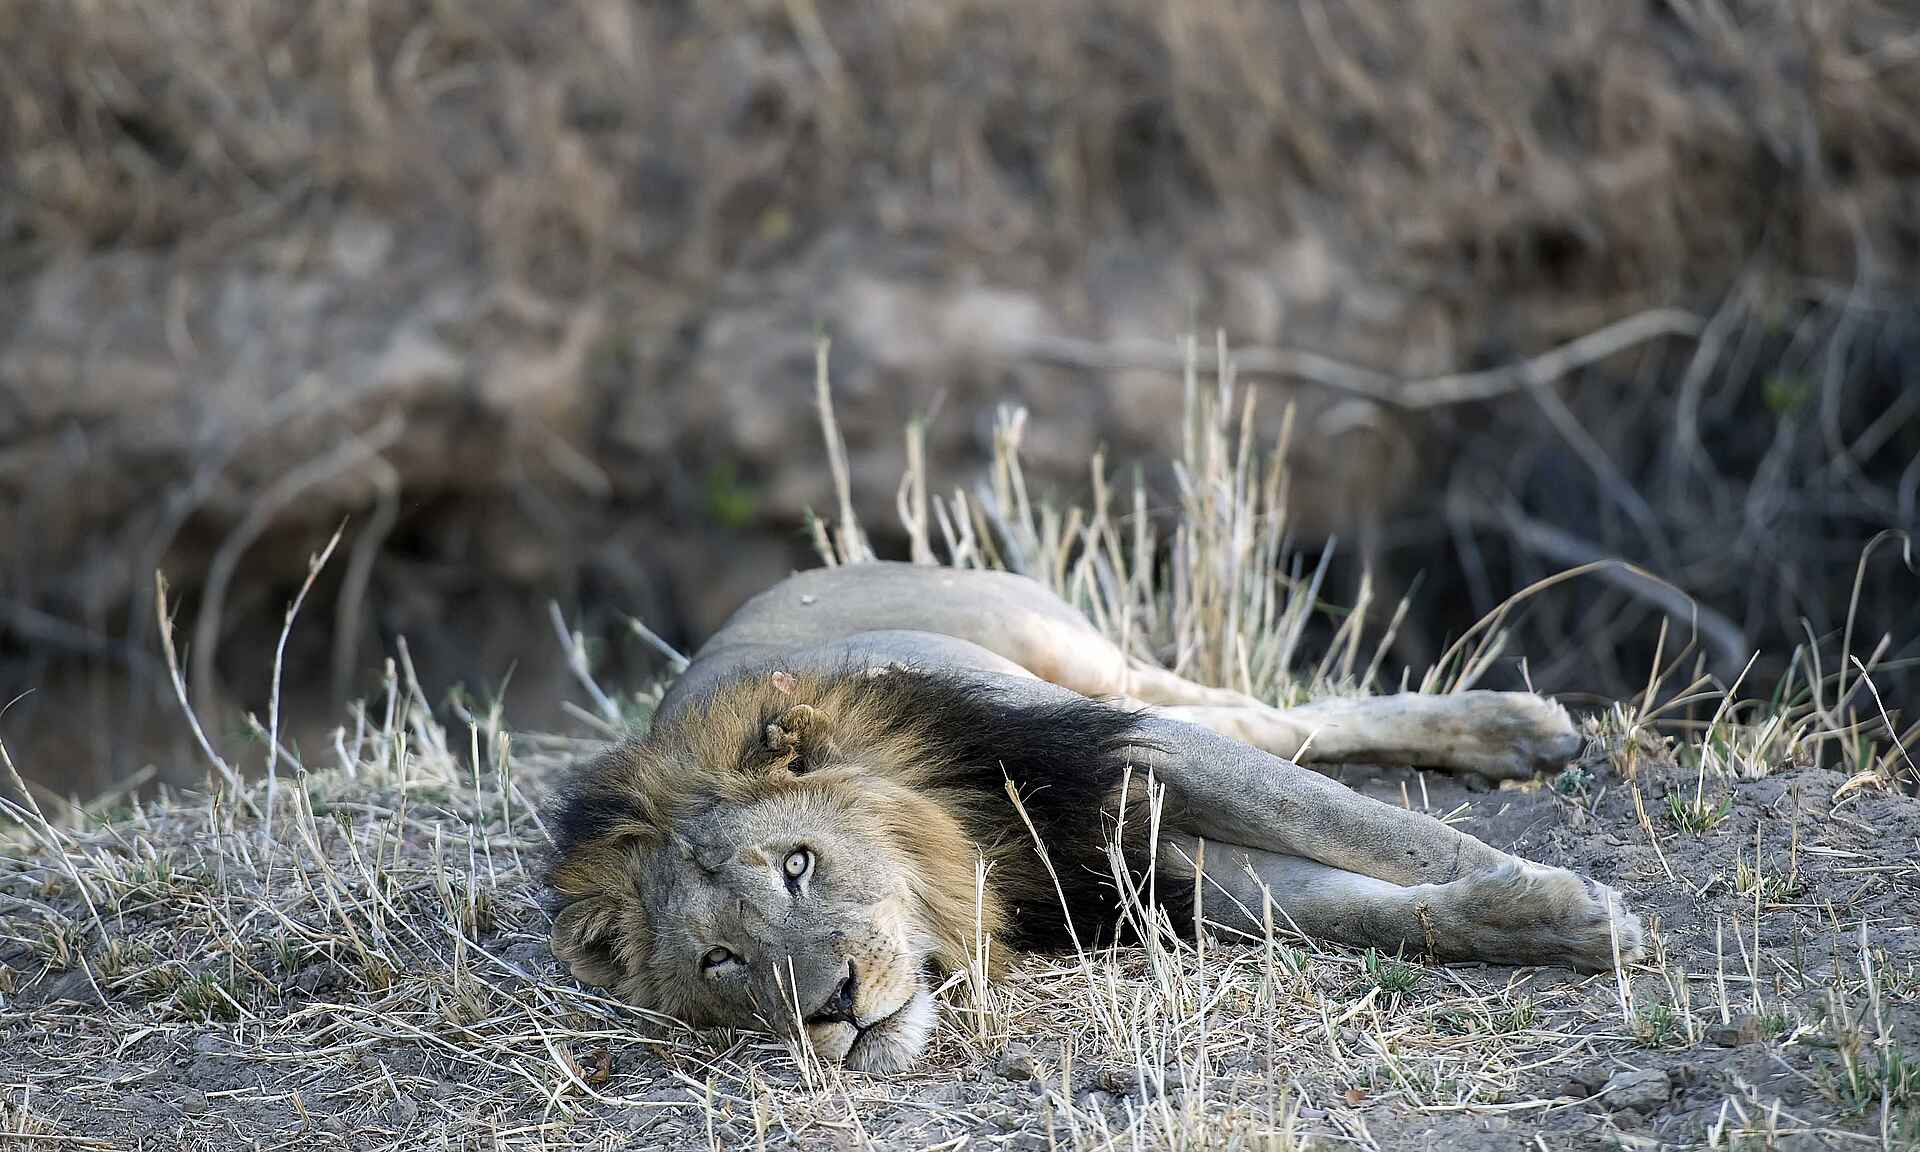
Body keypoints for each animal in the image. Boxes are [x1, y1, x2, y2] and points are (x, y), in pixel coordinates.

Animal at [547, 561, 1642, 1073]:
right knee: (1272, 722)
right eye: (719, 963)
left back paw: (1518, 728)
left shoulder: (1131, 754)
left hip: (1071, 653)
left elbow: (1388, 837)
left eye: (797, 865)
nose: (835, 1006)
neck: (966, 846)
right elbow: (1356, 905)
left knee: (1255, 713)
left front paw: (1581, 916)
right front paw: (1538, 920)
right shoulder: (1146, 871)